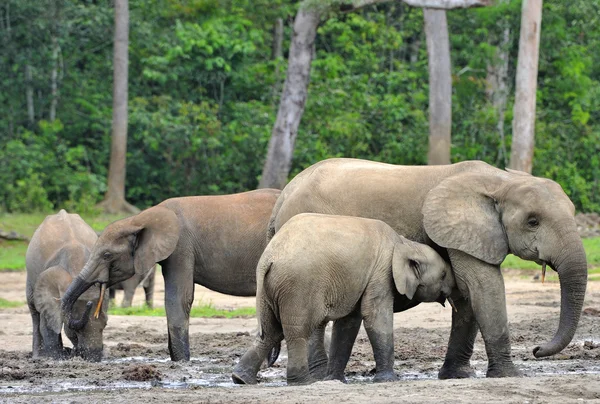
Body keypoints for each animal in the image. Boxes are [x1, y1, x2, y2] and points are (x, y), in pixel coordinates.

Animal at [25, 210, 108, 362]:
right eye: (75, 330)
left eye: (104, 326)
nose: (92, 359)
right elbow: (48, 325)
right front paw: (57, 358)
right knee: (35, 313)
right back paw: (37, 357)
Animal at [62, 188, 282, 362]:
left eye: (107, 255)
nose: (90, 305)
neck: (139, 219)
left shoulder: (181, 247)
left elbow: (178, 299)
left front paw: (182, 361)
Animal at [232, 211, 458, 386]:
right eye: (443, 275)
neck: (405, 244)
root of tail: (269, 257)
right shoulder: (381, 273)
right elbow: (376, 318)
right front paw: (388, 380)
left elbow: (348, 324)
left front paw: (335, 380)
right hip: (297, 284)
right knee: (297, 331)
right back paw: (303, 382)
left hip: (270, 288)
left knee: (270, 332)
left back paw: (241, 379)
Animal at [270, 158, 588, 378]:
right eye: (533, 221)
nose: (536, 350)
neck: (500, 180)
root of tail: (283, 196)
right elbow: (484, 286)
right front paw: (510, 376)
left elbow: (467, 295)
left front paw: (458, 376)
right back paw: (317, 378)